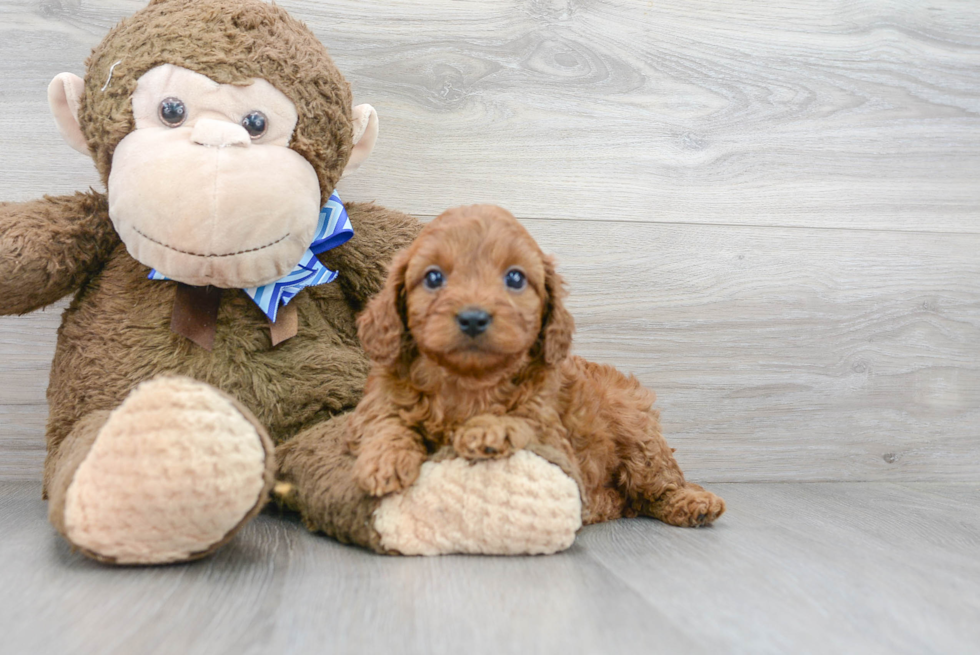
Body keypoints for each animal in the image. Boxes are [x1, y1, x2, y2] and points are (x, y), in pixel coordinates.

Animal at [348, 205, 724, 528]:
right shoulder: (377, 403)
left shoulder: (553, 434)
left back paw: (694, 504)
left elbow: (523, 421)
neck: (466, 380)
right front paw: (384, 459)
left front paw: (488, 430)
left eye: (515, 278)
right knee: (626, 500)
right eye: (433, 278)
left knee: (659, 485)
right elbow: (386, 421)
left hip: (638, 434)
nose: (473, 318)